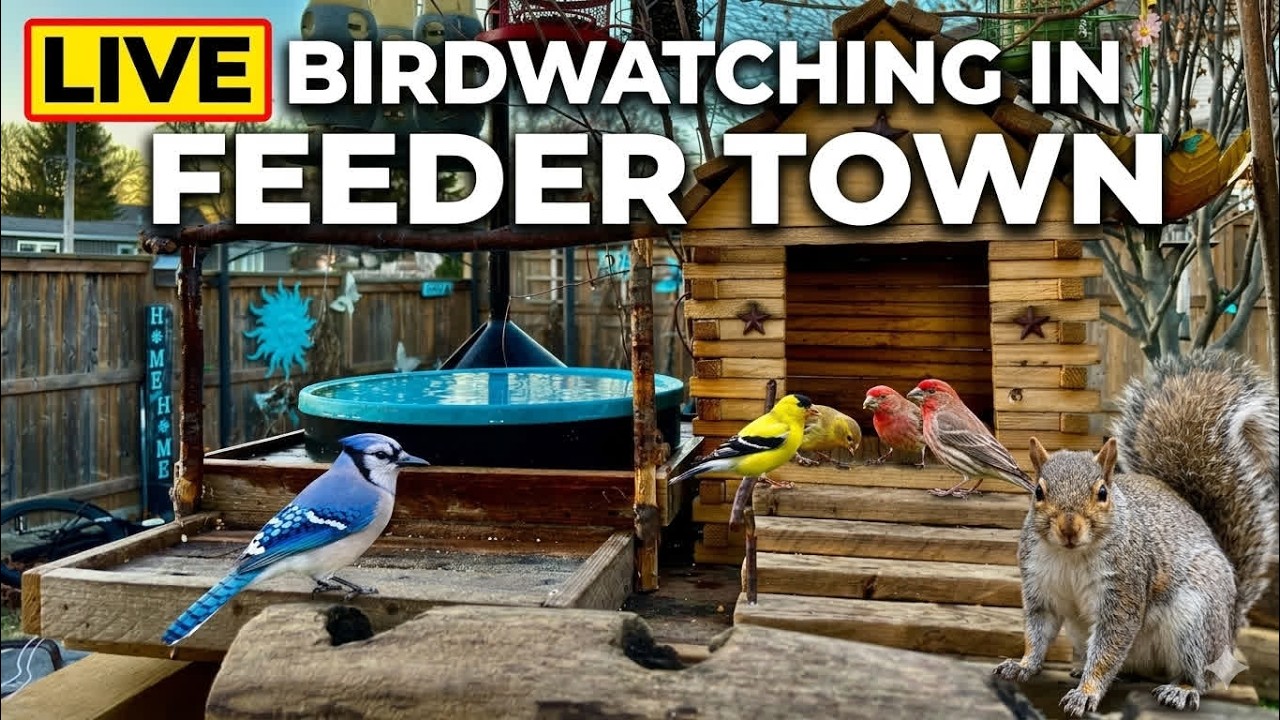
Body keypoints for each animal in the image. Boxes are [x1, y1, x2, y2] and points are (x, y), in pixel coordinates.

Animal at [993, 348, 1279, 718]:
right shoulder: (1039, 585)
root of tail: (1228, 631)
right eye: (1038, 492)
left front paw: (1086, 692)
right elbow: (1037, 632)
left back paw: (1182, 689)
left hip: (1196, 621)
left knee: (1200, 675)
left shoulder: (1124, 587)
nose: (1069, 528)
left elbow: (1109, 646)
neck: (1071, 556)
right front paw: (1023, 665)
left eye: (1102, 492)